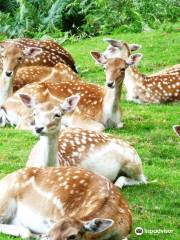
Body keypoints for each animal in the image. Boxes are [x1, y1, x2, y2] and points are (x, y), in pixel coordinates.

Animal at [0, 53, 143, 131]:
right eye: (104, 67)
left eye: (123, 68)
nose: (109, 83)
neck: (108, 113)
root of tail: (5, 105)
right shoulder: (79, 116)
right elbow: (100, 127)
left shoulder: (119, 122)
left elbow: (120, 125)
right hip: (30, 107)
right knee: (21, 125)